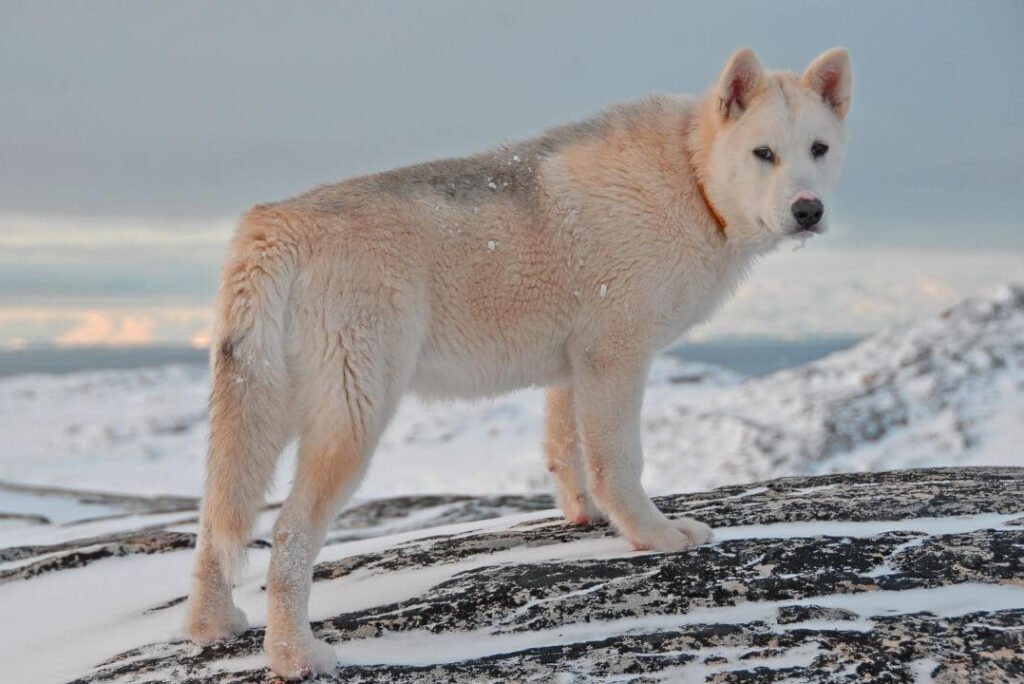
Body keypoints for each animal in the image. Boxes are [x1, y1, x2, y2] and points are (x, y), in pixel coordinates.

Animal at [186, 48, 856, 679]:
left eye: (819, 149)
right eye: (764, 153)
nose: (808, 210)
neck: (689, 181)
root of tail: (274, 224)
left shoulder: (574, 369)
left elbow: (569, 455)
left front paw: (586, 518)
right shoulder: (617, 358)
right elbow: (621, 464)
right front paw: (654, 536)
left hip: (260, 418)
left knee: (215, 524)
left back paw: (212, 627)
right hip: (352, 420)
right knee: (289, 535)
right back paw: (294, 658)